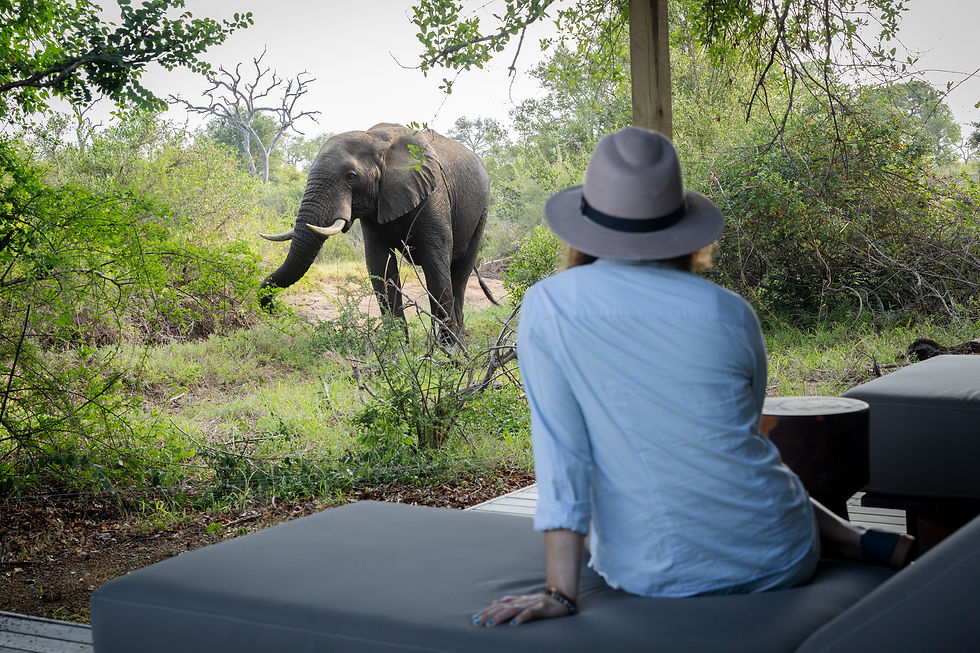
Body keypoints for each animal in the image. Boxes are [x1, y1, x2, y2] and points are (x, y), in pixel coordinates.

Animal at [259, 123, 493, 340]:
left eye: (351, 176)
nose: (272, 308)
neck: (377, 141)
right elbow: (380, 266)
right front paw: (397, 347)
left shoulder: (433, 194)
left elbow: (435, 262)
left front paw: (448, 352)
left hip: (482, 209)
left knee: (461, 273)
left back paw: (459, 338)